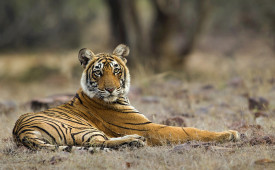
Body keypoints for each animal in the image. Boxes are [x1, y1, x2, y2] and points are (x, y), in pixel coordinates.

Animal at [12, 43, 240, 151]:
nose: (111, 89)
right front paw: (230, 133)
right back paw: (135, 140)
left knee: (101, 142)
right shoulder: (148, 127)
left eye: (116, 70)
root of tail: (20, 131)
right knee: (99, 143)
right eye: (98, 73)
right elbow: (189, 130)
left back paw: (134, 142)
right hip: (80, 127)